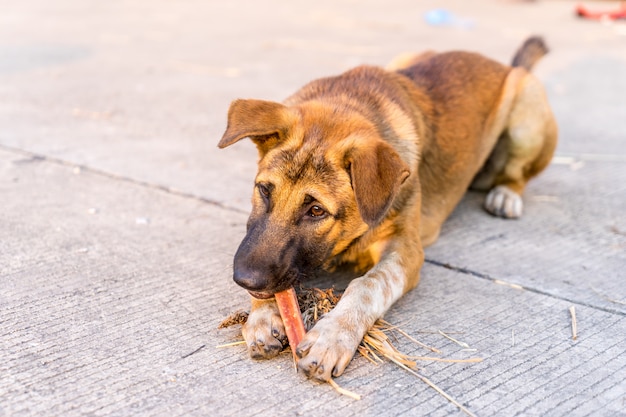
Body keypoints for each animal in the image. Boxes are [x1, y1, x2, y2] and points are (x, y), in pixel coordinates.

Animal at [217, 36, 552, 380]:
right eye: (263, 190)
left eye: (316, 211)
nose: (244, 280)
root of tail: (506, 66)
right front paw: (263, 315)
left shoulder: (406, 249)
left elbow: (368, 285)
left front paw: (333, 335)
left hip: (528, 115)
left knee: (517, 174)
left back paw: (505, 194)